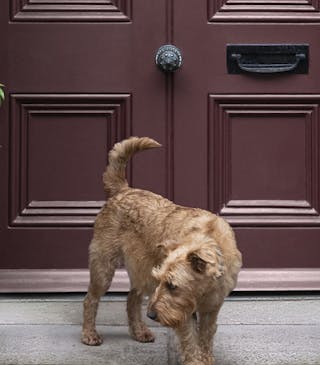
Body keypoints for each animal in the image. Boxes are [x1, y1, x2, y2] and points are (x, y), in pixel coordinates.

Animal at [81, 137, 241, 364]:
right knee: (90, 299)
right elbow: (190, 341)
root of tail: (123, 190)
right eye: (164, 282)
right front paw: (194, 360)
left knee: (132, 299)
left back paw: (139, 331)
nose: (152, 316)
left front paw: (207, 359)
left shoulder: (211, 309)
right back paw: (89, 334)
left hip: (141, 269)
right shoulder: (183, 312)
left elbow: (205, 338)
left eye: (172, 285)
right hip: (103, 266)